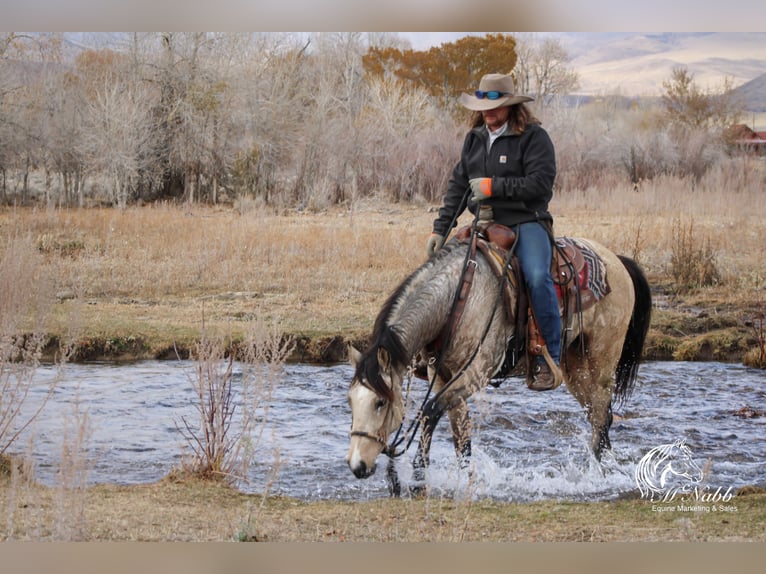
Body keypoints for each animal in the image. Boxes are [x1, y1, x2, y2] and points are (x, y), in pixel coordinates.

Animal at [348, 218, 656, 498]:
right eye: (351, 401)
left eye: (379, 402)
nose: (357, 466)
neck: (457, 299)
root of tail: (616, 260)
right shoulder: (444, 374)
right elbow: (460, 435)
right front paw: (466, 482)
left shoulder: (476, 372)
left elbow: (429, 412)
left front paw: (416, 481)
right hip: (576, 368)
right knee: (596, 416)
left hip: (602, 363)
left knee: (602, 418)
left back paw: (599, 478)